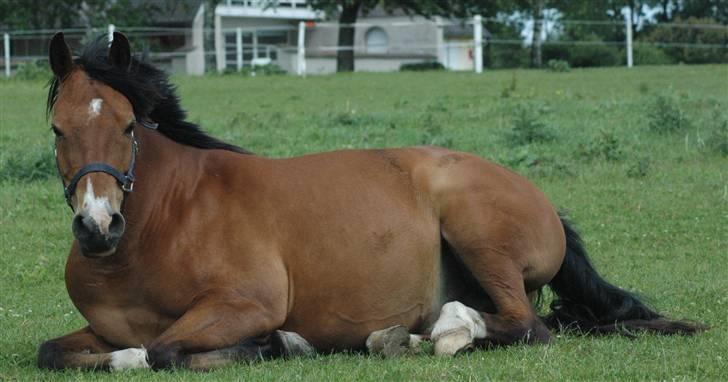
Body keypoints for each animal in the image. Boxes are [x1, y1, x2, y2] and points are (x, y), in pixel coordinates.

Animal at [38, 32, 700, 370]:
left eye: (128, 126)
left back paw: (439, 333)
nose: (98, 226)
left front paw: (279, 344)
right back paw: (404, 336)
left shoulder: (246, 303)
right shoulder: (100, 330)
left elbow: (166, 349)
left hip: (477, 232)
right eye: (57, 130)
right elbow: (64, 352)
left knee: (525, 326)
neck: (163, 222)